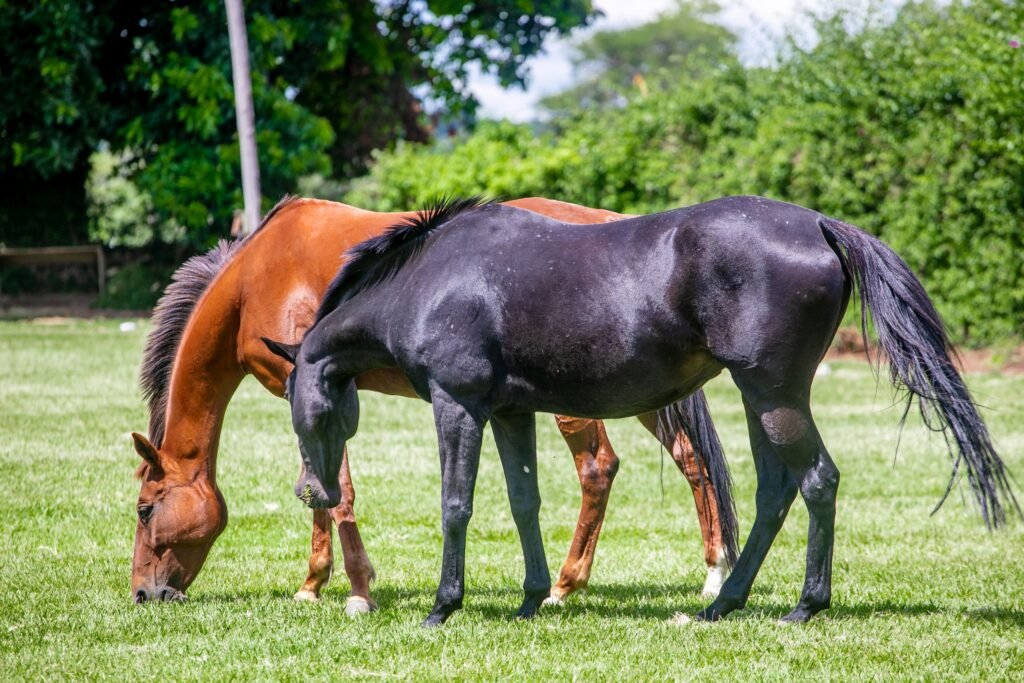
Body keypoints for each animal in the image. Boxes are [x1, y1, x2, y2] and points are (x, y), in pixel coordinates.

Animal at [129, 196, 738, 613]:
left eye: (144, 509)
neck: (254, 280)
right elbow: (320, 488)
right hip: (645, 392)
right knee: (692, 460)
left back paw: (565, 586)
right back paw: (713, 571)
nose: (143, 593)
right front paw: (315, 584)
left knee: (598, 469)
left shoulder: (311, 389)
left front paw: (352, 590)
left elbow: (334, 490)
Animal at [269, 195, 1019, 626]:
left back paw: (805, 605)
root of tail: (817, 224)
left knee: (818, 482)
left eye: (303, 406)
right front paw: (532, 598)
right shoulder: (510, 413)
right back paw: (722, 603)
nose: (314, 490)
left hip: (773, 395)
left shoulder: (460, 408)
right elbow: (523, 502)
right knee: (775, 492)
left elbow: (457, 504)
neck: (430, 279)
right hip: (763, 399)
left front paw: (443, 606)